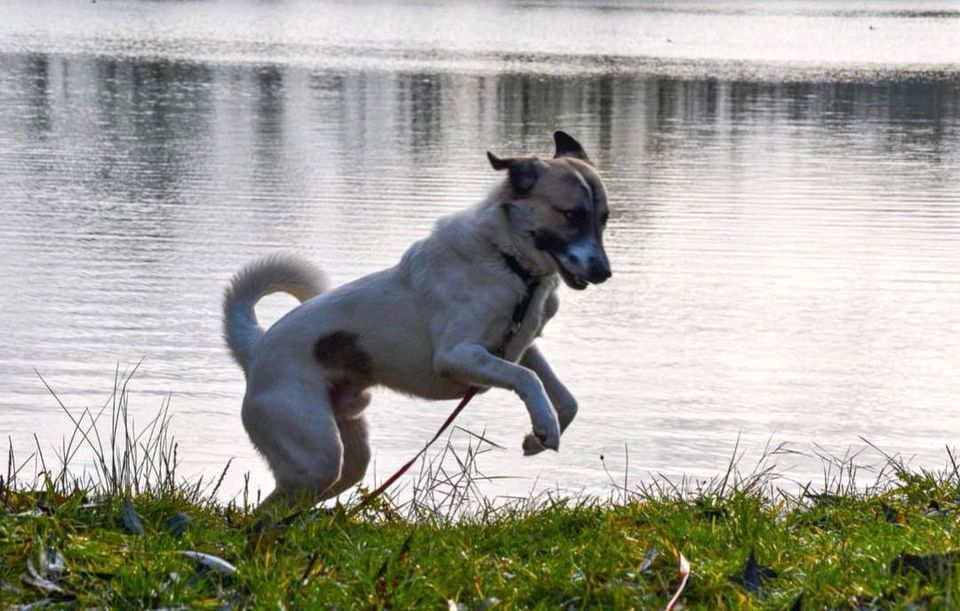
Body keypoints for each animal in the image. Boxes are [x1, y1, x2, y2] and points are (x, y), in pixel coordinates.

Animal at [222, 129, 612, 506]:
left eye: (604, 218)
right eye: (571, 215)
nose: (604, 272)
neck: (508, 262)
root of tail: (255, 348)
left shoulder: (520, 344)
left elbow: (565, 399)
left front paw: (538, 435)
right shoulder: (458, 355)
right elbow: (528, 379)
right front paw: (544, 426)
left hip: (345, 456)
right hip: (316, 456)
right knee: (261, 513)